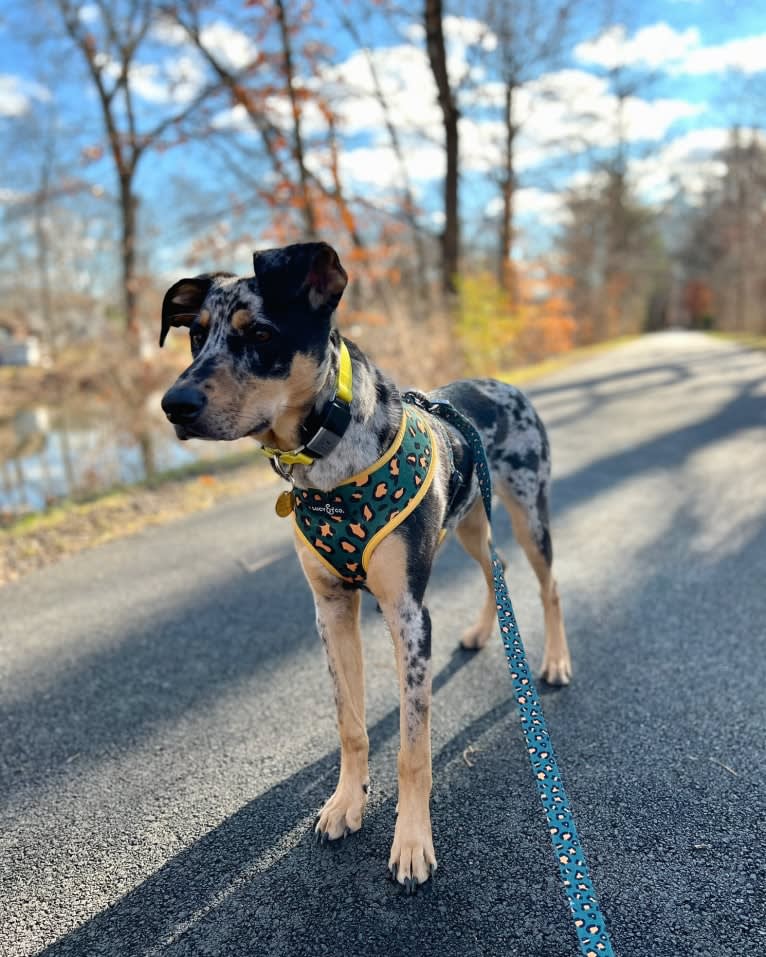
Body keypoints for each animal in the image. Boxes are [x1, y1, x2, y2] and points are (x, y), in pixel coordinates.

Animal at [160, 243, 568, 892]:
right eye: (196, 336)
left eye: (261, 334)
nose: (175, 405)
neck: (329, 465)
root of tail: (501, 384)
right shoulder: (332, 610)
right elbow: (350, 725)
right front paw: (346, 803)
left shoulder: (407, 614)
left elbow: (412, 748)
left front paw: (412, 841)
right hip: (469, 523)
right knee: (495, 569)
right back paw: (482, 632)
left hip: (529, 511)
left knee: (547, 584)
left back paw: (554, 661)